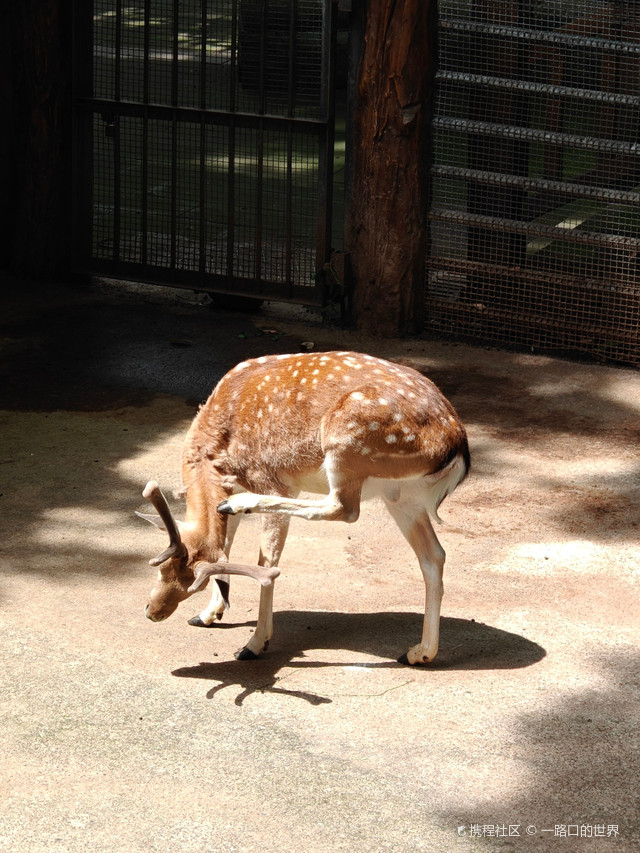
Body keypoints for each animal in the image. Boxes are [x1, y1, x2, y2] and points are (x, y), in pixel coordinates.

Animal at [139, 350, 470, 664]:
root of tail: (457, 444)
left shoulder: (268, 478)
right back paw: (419, 652)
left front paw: (254, 644)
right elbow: (226, 545)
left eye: (195, 585)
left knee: (345, 509)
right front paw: (207, 615)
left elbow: (266, 561)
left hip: (346, 443)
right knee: (434, 555)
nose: (152, 611)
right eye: (160, 567)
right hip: (401, 495)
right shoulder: (233, 484)